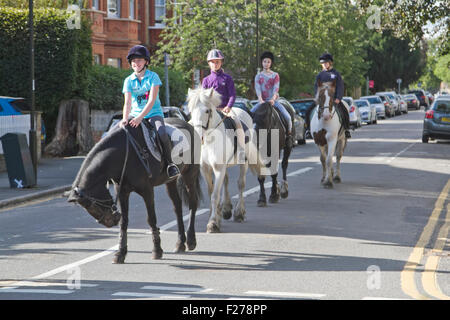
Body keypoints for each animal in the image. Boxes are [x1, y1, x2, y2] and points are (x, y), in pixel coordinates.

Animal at [66, 119, 200, 264]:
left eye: (93, 205)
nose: (110, 222)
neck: (125, 152)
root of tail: (189, 125)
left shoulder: (147, 190)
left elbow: (151, 219)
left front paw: (157, 250)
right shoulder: (122, 191)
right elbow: (124, 222)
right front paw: (120, 253)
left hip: (189, 175)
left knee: (193, 203)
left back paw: (191, 241)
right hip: (170, 181)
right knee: (177, 207)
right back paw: (180, 243)